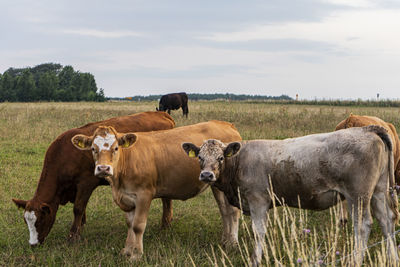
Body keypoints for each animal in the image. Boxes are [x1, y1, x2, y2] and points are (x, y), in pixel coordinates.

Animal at [11, 111, 174, 247]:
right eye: (26, 221)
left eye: (40, 220)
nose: (33, 244)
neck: (64, 154)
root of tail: (161, 113)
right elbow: (81, 210)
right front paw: (80, 227)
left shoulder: (86, 183)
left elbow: (78, 208)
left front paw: (73, 235)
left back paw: (165, 225)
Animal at [70, 121, 242, 262]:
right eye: (93, 149)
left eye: (116, 148)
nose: (103, 168)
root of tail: (226, 124)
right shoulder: (127, 197)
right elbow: (130, 224)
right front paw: (127, 250)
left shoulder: (144, 195)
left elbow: (138, 225)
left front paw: (136, 255)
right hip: (216, 185)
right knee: (224, 211)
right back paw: (225, 241)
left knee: (232, 211)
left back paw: (232, 243)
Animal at [183, 126, 398, 267]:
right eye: (200, 157)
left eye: (220, 158)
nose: (206, 175)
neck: (239, 162)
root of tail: (367, 129)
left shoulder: (258, 200)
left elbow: (258, 231)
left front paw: (255, 260)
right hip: (378, 190)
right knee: (386, 220)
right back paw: (393, 258)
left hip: (358, 195)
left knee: (362, 225)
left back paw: (355, 260)